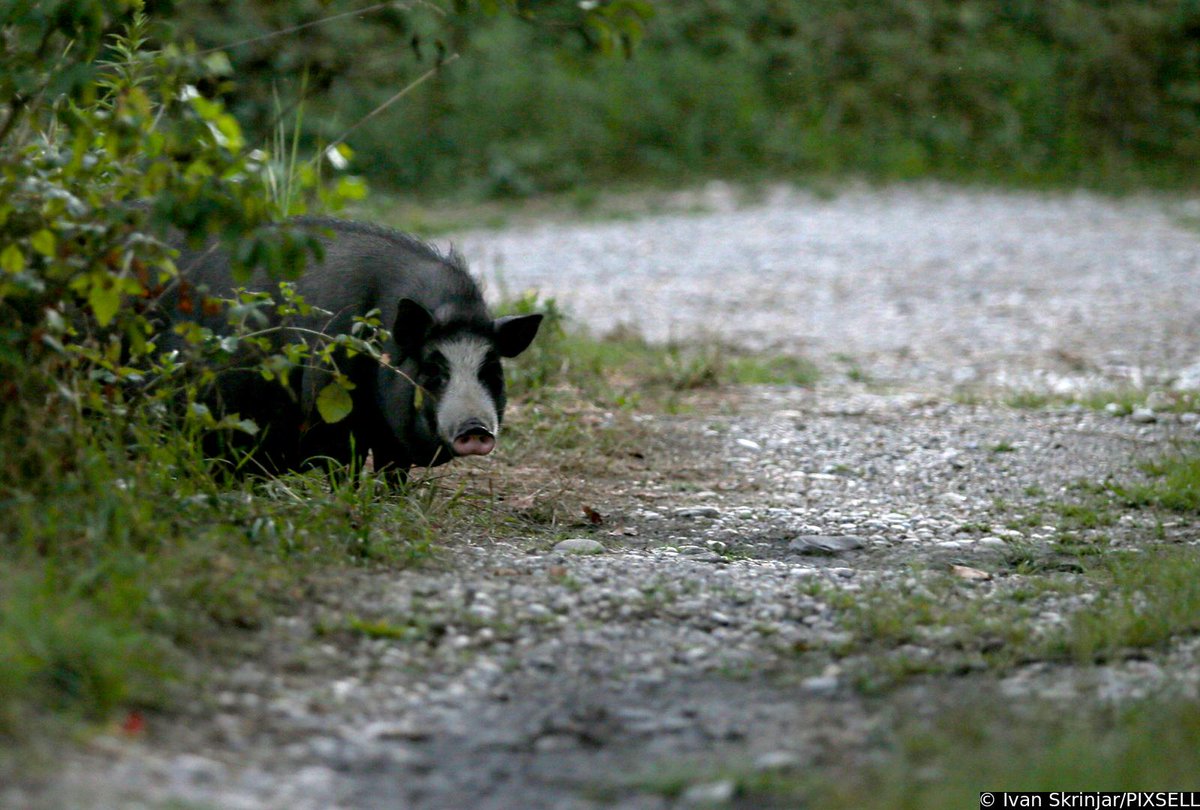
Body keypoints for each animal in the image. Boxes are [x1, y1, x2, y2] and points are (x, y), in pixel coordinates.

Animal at [155, 217, 542, 479]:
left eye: (490, 371)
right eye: (434, 370)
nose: (475, 428)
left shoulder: (389, 437)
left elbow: (393, 474)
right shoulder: (331, 415)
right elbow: (344, 468)